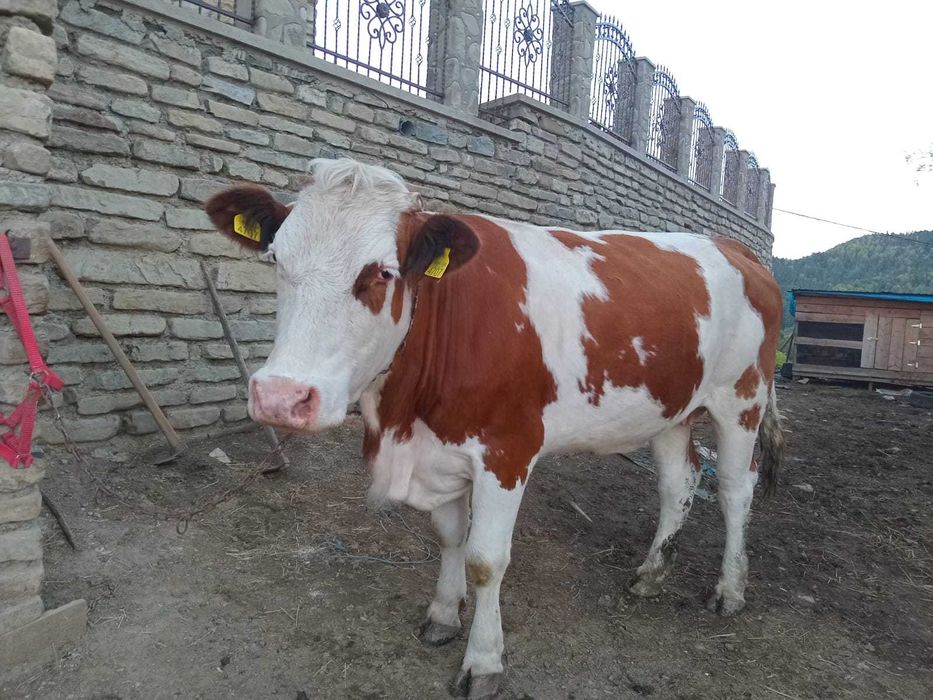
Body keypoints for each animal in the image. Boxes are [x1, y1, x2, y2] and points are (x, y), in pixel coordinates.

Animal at [205, 158, 784, 698]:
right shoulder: (440, 450)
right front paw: (443, 614)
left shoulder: (507, 452)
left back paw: (730, 589)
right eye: (276, 259)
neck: (403, 419)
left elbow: (486, 560)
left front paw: (483, 662)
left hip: (741, 397)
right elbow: (448, 536)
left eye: (383, 273)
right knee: (677, 483)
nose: (280, 397)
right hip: (672, 408)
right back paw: (650, 573)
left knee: (735, 489)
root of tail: (734, 246)